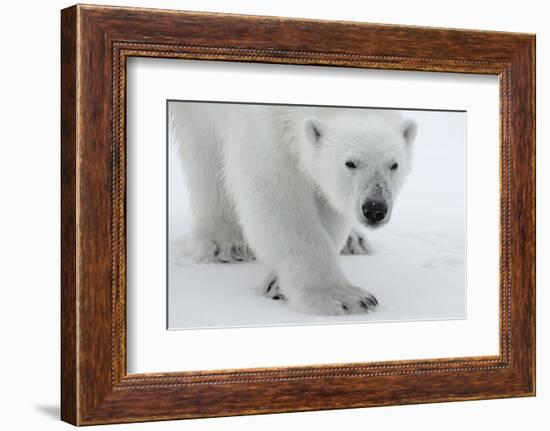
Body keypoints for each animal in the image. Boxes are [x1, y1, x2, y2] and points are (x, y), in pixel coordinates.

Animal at [170, 103, 416, 316]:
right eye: (350, 163)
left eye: (394, 164)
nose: (375, 208)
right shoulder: (260, 122)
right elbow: (274, 190)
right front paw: (342, 298)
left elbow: (326, 199)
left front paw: (277, 284)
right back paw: (225, 242)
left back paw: (353, 241)